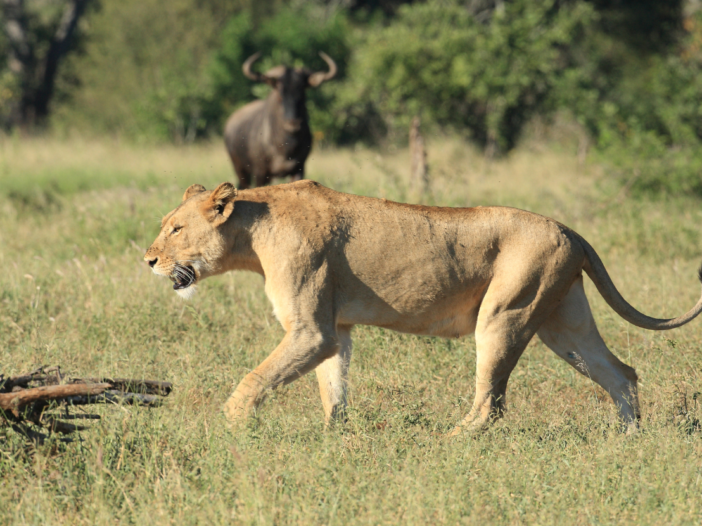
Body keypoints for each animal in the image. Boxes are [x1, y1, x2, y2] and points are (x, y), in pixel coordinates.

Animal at [144, 180, 702, 434]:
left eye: (176, 228)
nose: (148, 258)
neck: (253, 232)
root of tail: (570, 229)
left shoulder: (309, 329)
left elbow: (255, 377)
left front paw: (230, 424)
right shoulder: (334, 329)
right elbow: (333, 387)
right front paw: (334, 436)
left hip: (504, 315)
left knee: (492, 404)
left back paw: (449, 440)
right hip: (563, 323)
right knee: (620, 373)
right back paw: (627, 438)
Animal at [224, 52, 337, 189]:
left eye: (302, 88)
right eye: (280, 89)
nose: (293, 123)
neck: (285, 147)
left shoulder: (299, 169)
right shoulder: (260, 172)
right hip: (240, 170)